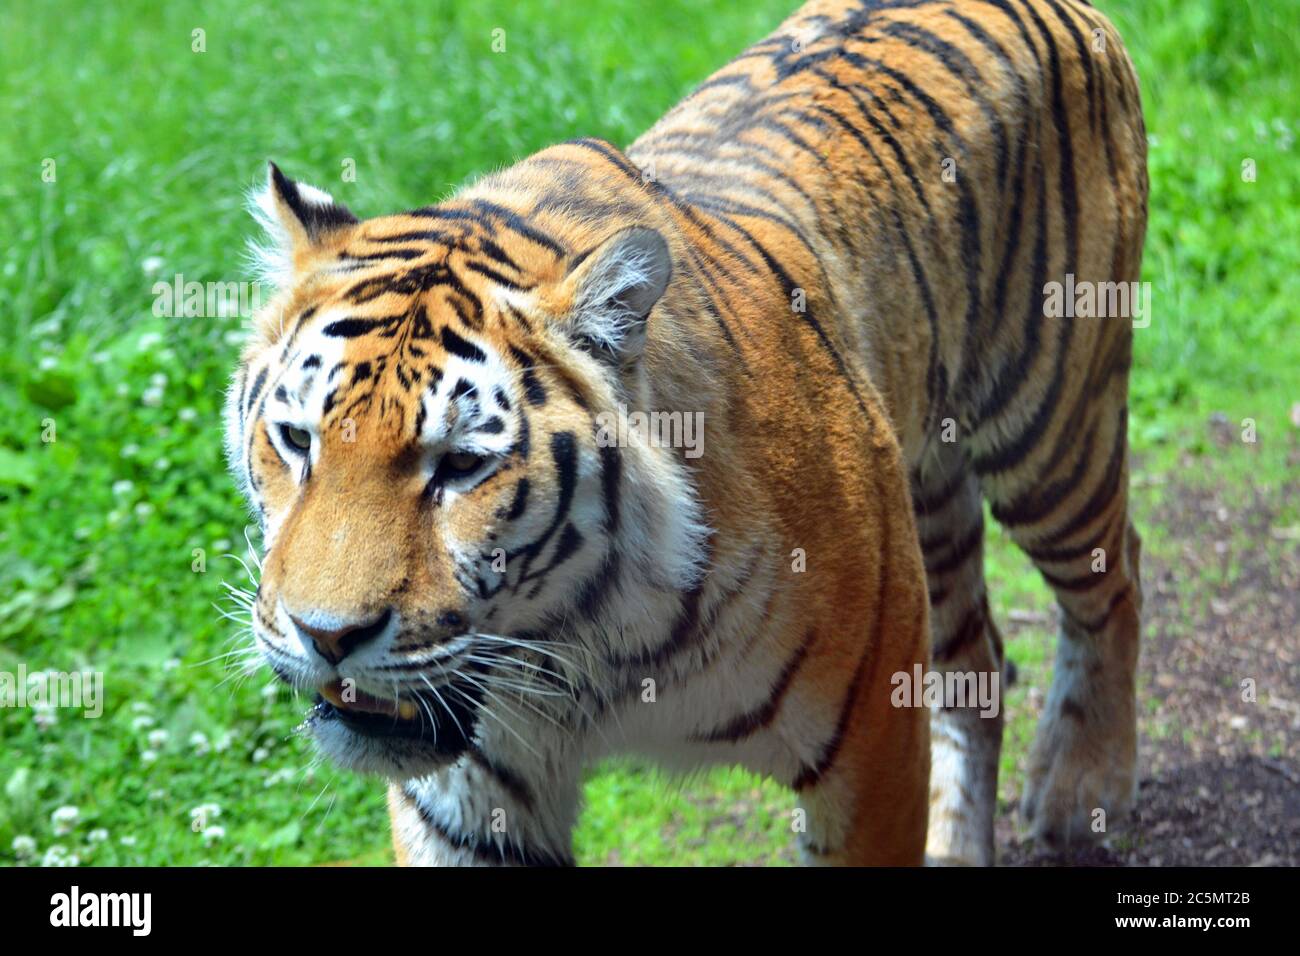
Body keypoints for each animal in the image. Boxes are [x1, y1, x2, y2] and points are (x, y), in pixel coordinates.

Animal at [226, 0, 1149, 868]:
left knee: (1114, 574)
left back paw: (1080, 785)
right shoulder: (468, 795)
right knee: (979, 661)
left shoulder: (873, 740)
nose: (326, 637)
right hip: (929, 504)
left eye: (460, 466)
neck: (576, 644)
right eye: (298, 442)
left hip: (1047, 431)